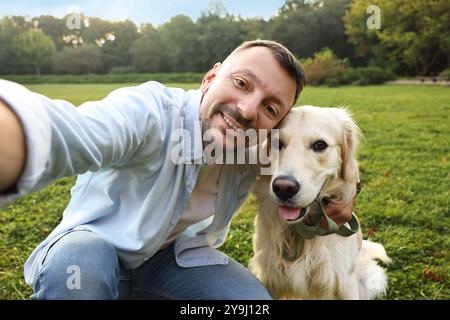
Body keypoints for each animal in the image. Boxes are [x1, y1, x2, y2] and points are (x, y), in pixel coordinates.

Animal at [250, 106, 390, 298]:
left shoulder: (344, 282)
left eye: (320, 145)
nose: (283, 188)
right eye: (278, 143)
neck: (303, 230)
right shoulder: (269, 276)